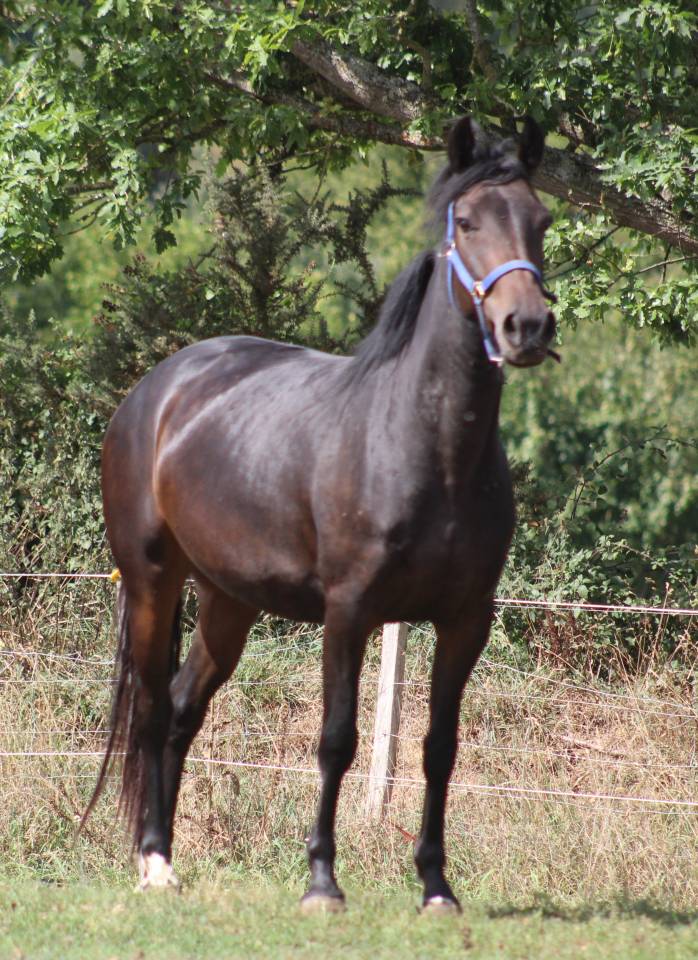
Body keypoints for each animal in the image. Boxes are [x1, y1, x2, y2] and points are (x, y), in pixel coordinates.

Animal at [84, 116, 557, 914]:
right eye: (465, 222)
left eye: (542, 220)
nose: (525, 325)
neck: (429, 448)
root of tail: (157, 388)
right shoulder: (349, 611)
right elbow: (336, 739)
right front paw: (322, 882)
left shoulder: (467, 620)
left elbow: (440, 747)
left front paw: (436, 886)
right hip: (151, 583)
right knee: (149, 709)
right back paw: (152, 863)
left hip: (229, 602)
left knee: (180, 710)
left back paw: (168, 855)